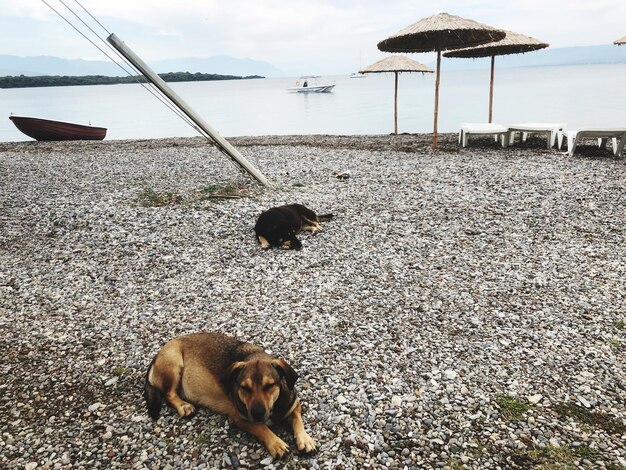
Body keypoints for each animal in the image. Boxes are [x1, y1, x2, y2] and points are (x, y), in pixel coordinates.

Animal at [144, 332, 314, 458]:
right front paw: (276, 443)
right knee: (169, 394)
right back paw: (183, 406)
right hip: (174, 361)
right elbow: (262, 427)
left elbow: (297, 420)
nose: (257, 413)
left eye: (269, 386)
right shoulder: (240, 418)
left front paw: (305, 439)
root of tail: (158, 353)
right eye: (244, 387)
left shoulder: (294, 405)